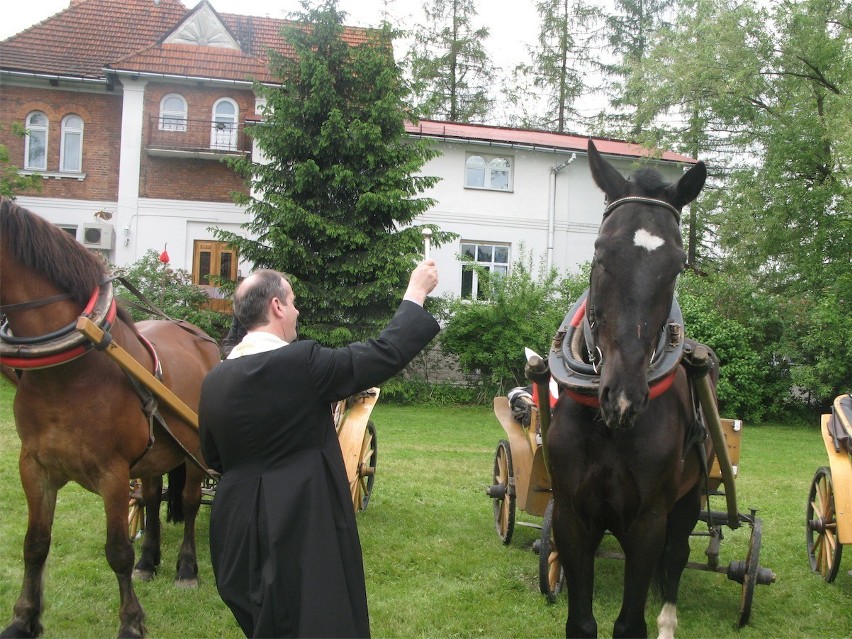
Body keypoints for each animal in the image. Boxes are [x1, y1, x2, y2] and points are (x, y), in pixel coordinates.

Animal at [0, 198, 220, 636]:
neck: (71, 367)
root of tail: (199, 334)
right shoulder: (33, 465)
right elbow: (35, 544)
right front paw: (23, 620)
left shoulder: (113, 472)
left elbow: (117, 550)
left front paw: (131, 622)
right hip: (155, 454)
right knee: (150, 499)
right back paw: (148, 561)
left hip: (194, 453)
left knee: (188, 504)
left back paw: (187, 568)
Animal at [544, 141, 716, 639]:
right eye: (601, 252)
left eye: (677, 264)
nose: (623, 396)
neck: (608, 428)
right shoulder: (572, 517)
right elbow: (582, 623)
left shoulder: (648, 522)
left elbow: (630, 623)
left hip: (688, 503)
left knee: (676, 559)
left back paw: (668, 619)